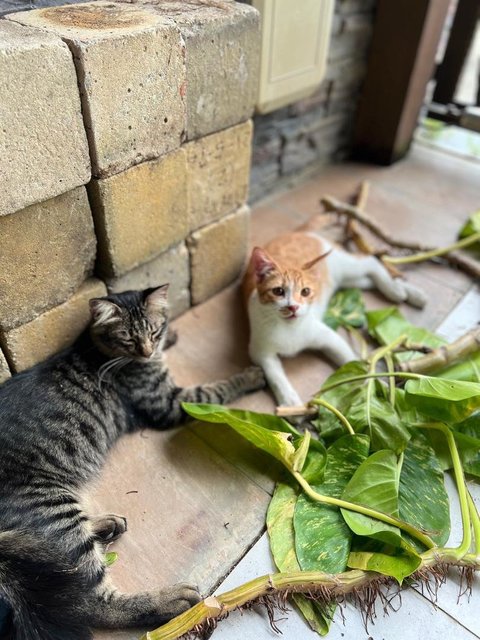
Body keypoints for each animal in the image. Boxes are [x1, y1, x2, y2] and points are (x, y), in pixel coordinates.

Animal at [0, 286, 262, 640]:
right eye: (127, 338)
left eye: (151, 331)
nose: (148, 351)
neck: (94, 346)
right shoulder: (170, 402)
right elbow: (218, 389)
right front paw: (251, 375)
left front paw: (171, 334)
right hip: (51, 503)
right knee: (91, 599)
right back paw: (169, 601)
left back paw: (104, 525)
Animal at [242, 220, 426, 408]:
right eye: (278, 291)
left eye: (305, 292)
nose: (293, 307)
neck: (290, 329)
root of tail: (296, 232)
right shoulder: (260, 351)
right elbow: (275, 375)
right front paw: (290, 401)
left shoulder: (330, 338)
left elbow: (353, 361)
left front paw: (380, 386)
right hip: (348, 279)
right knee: (368, 279)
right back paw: (404, 291)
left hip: (345, 266)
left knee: (370, 261)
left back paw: (400, 291)